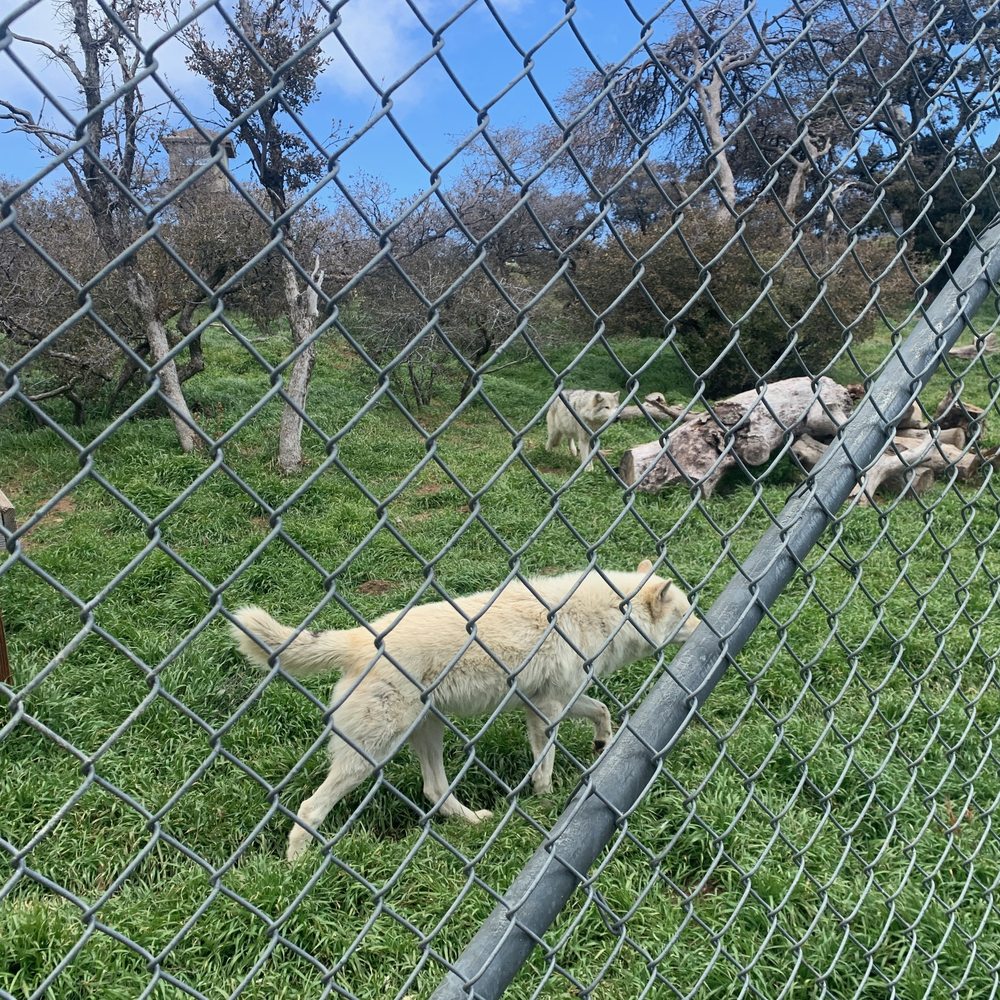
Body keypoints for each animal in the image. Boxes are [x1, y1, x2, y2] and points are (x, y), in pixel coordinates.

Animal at [231, 561, 700, 860]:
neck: (599, 617)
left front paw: (603, 744)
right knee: (309, 808)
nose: (704, 628)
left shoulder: (556, 699)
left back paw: (473, 822)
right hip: (369, 758)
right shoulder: (546, 709)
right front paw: (546, 803)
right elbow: (545, 766)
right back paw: (297, 869)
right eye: (685, 614)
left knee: (434, 792)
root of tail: (360, 640)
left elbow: (602, 710)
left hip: (427, 734)